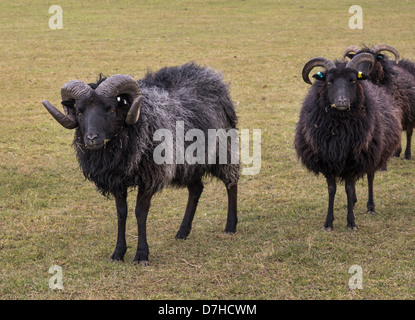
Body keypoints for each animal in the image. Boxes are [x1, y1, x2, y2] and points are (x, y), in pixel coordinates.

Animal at [42, 62, 240, 264]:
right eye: (79, 111)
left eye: (110, 109)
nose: (91, 138)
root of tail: (210, 74)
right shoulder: (116, 180)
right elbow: (121, 212)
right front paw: (118, 253)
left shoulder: (150, 177)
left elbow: (140, 212)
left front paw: (141, 255)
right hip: (187, 163)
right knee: (196, 189)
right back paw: (182, 232)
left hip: (221, 149)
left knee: (231, 182)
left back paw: (230, 226)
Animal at [296, 54, 404, 230]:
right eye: (329, 81)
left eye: (352, 80)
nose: (342, 101)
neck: (339, 129)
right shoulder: (327, 160)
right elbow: (332, 190)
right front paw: (328, 222)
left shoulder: (355, 160)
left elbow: (348, 188)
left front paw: (351, 222)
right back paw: (351, 203)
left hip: (372, 153)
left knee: (370, 177)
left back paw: (370, 207)